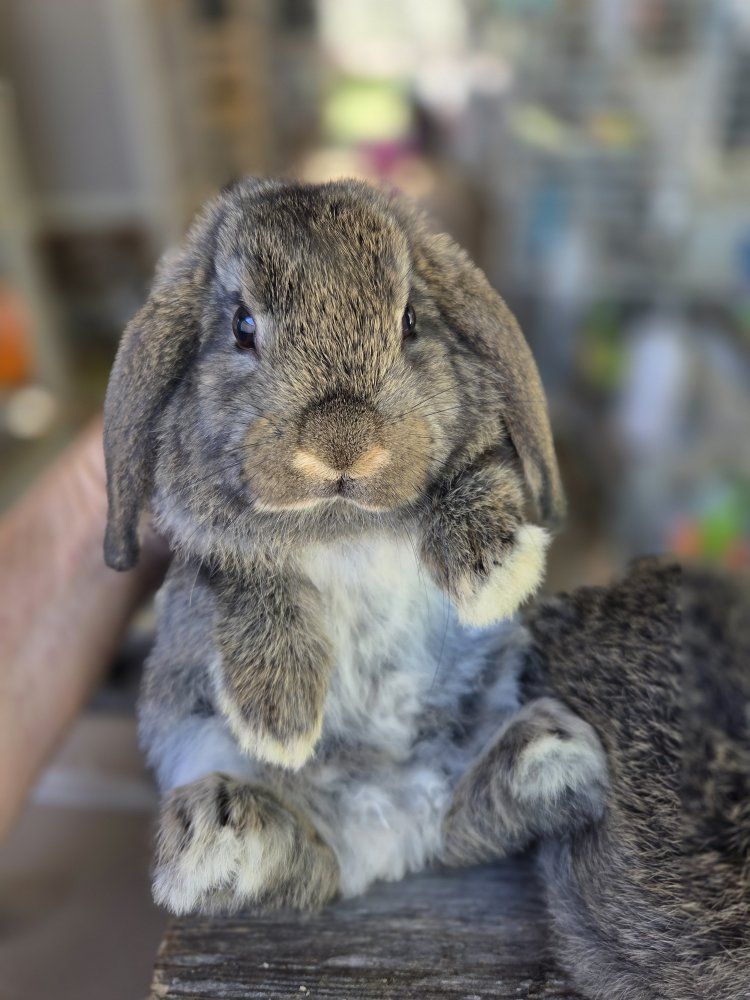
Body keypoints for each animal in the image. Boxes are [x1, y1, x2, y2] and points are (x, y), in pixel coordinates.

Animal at [102, 177, 608, 915]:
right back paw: (222, 835)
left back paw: (544, 757)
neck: (342, 522)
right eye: (242, 327)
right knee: (311, 866)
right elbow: (248, 573)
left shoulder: (477, 458)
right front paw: (280, 720)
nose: (342, 444)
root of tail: (395, 827)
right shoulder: (210, 544)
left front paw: (494, 573)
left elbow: (473, 475)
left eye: (410, 321)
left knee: (461, 829)